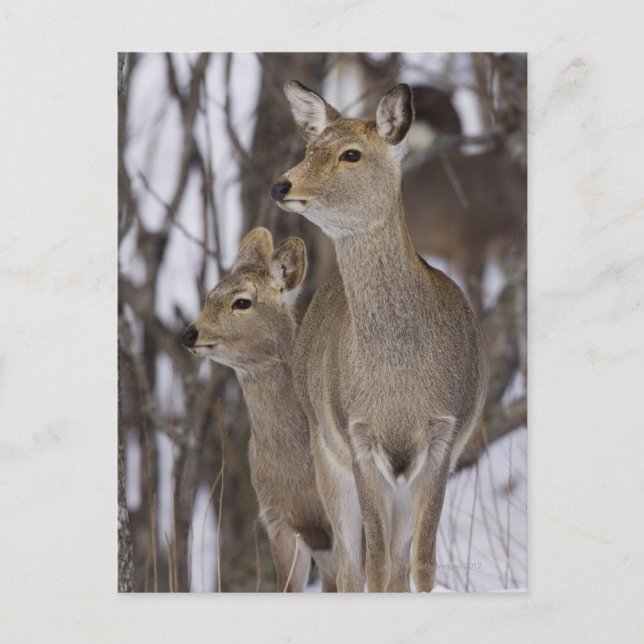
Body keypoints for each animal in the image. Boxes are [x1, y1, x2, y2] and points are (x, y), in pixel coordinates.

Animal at [270, 81, 489, 592]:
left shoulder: (445, 437)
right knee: (350, 565)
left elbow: (421, 565)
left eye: (351, 153)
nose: (281, 185)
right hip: (326, 456)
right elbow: (371, 564)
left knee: (393, 563)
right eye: (310, 148)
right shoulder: (357, 438)